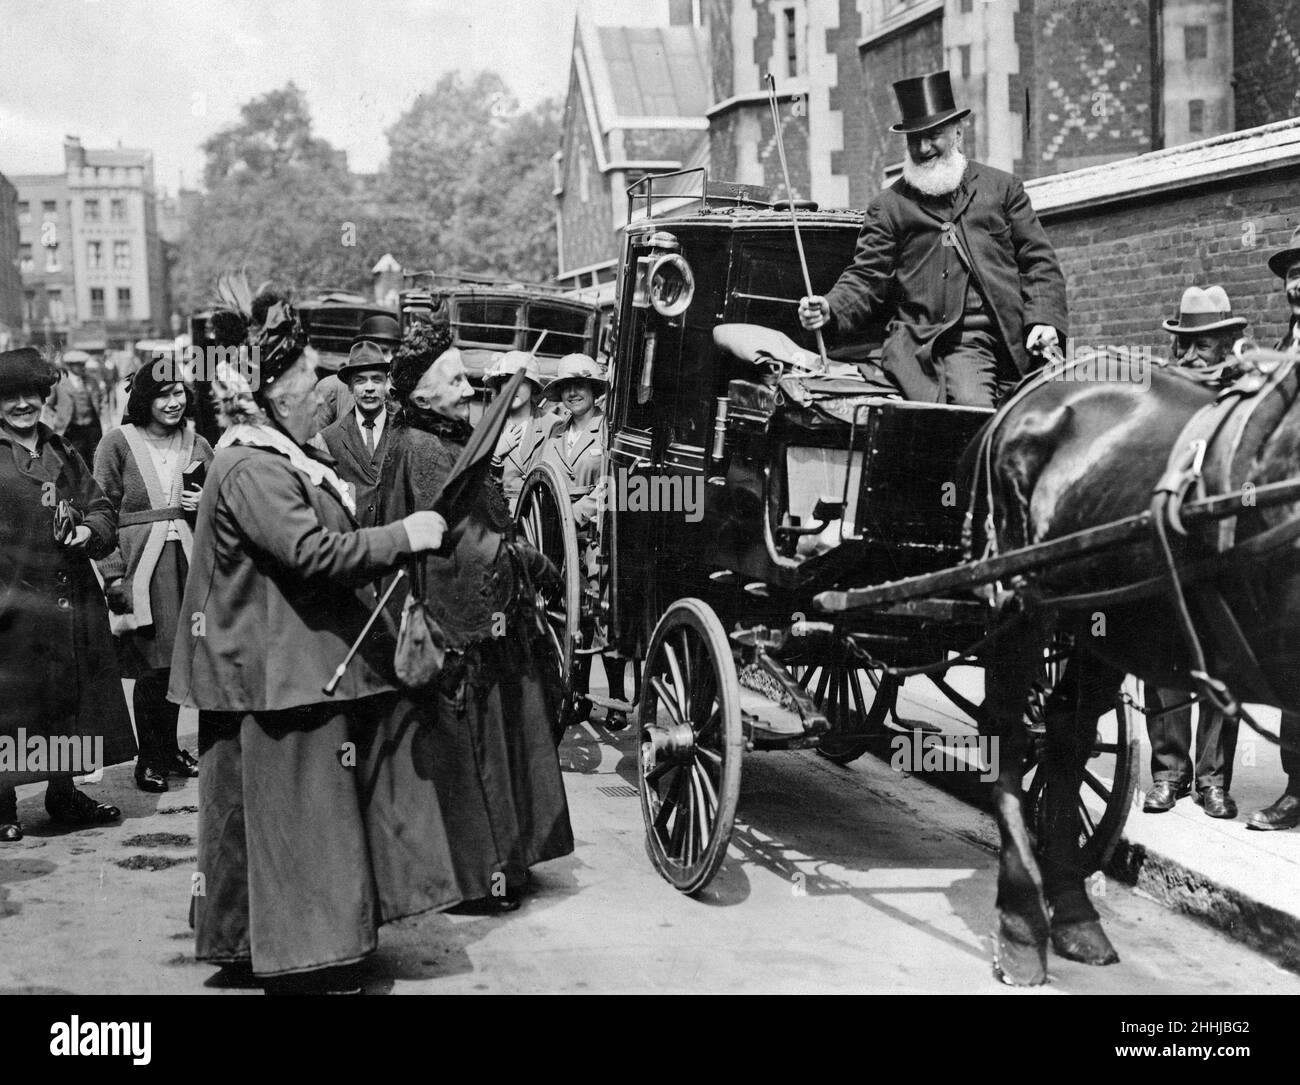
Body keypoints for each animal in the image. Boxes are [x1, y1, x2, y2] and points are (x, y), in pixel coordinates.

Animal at [967, 348, 1300, 982]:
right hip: (1021, 602)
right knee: (1011, 737)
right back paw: (1021, 925)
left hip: (1103, 618)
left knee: (1065, 739)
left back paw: (1075, 915)